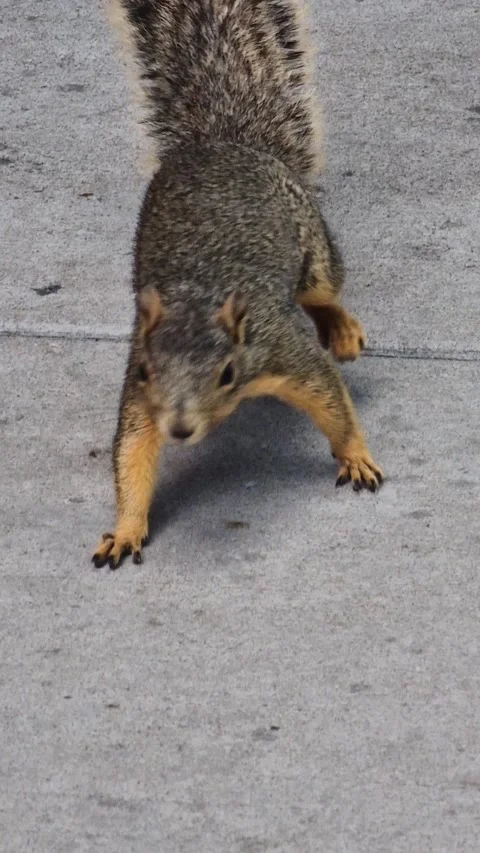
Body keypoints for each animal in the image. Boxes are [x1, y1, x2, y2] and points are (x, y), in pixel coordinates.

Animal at [93, 0, 384, 570]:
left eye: (227, 371)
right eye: (146, 370)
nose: (180, 429)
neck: (196, 295)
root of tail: (222, 142)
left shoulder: (283, 351)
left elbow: (333, 404)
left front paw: (356, 457)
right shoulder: (141, 390)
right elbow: (132, 452)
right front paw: (125, 529)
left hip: (311, 244)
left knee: (323, 291)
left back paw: (342, 330)